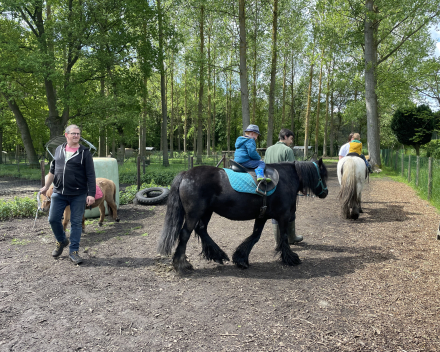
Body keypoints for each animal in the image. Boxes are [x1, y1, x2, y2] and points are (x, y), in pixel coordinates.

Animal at [157, 160, 326, 272]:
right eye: (323, 175)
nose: (326, 192)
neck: (286, 179)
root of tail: (186, 174)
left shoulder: (262, 216)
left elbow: (255, 236)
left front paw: (241, 258)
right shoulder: (283, 216)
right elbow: (283, 237)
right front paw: (290, 258)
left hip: (206, 212)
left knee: (202, 229)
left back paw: (218, 254)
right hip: (194, 213)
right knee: (185, 234)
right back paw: (181, 264)